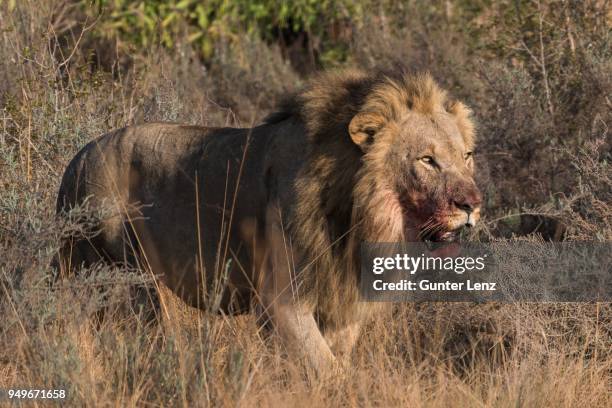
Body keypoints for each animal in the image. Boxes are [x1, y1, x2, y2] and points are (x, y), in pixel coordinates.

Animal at [55, 69, 480, 372]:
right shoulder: (281, 299)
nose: (472, 204)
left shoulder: (340, 300)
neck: (360, 217)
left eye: (466, 156)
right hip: (126, 276)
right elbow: (326, 370)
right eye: (427, 160)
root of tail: (76, 161)